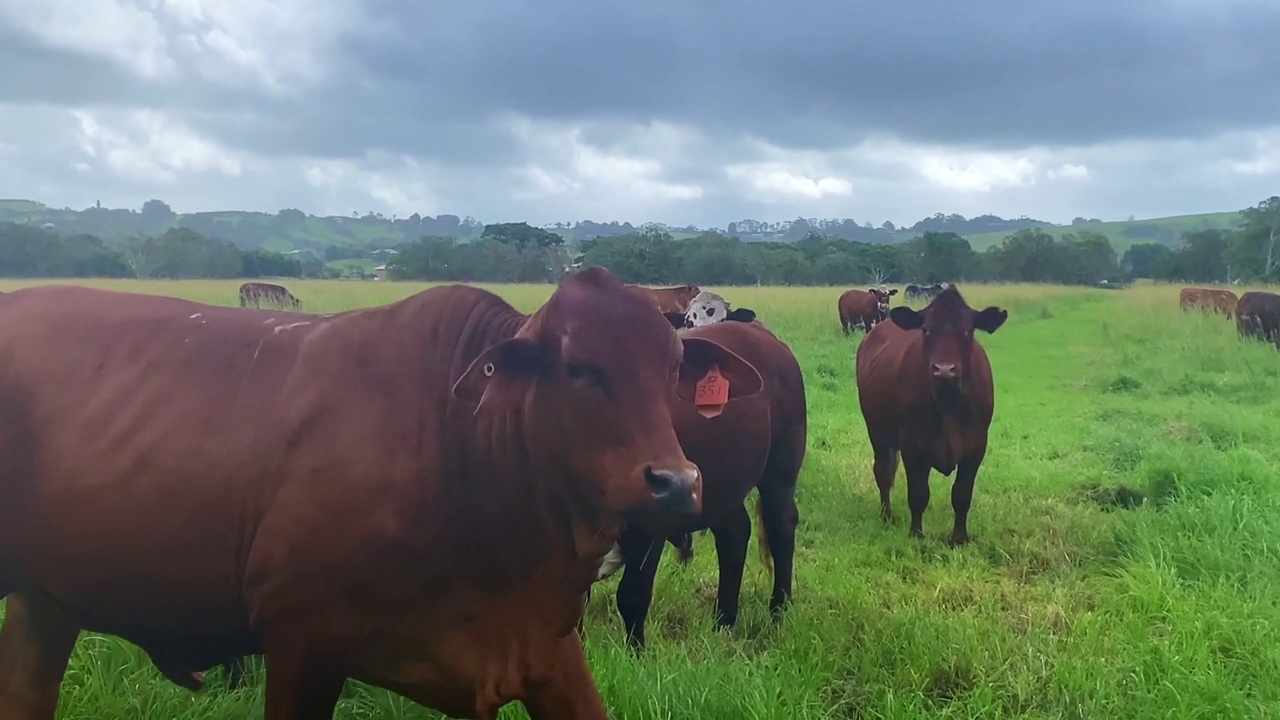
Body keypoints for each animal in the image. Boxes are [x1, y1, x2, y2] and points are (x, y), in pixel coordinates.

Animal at [0, 267, 762, 717]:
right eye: (579, 368)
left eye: (673, 367)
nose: (676, 484)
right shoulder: (302, 647)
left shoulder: (543, 649)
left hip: (45, 604)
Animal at [855, 284, 1003, 543]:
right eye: (926, 329)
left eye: (968, 330)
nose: (944, 370)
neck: (948, 405)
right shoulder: (912, 446)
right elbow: (918, 494)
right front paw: (916, 534)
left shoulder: (976, 446)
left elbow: (962, 494)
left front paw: (959, 538)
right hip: (877, 431)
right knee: (883, 472)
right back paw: (887, 515)